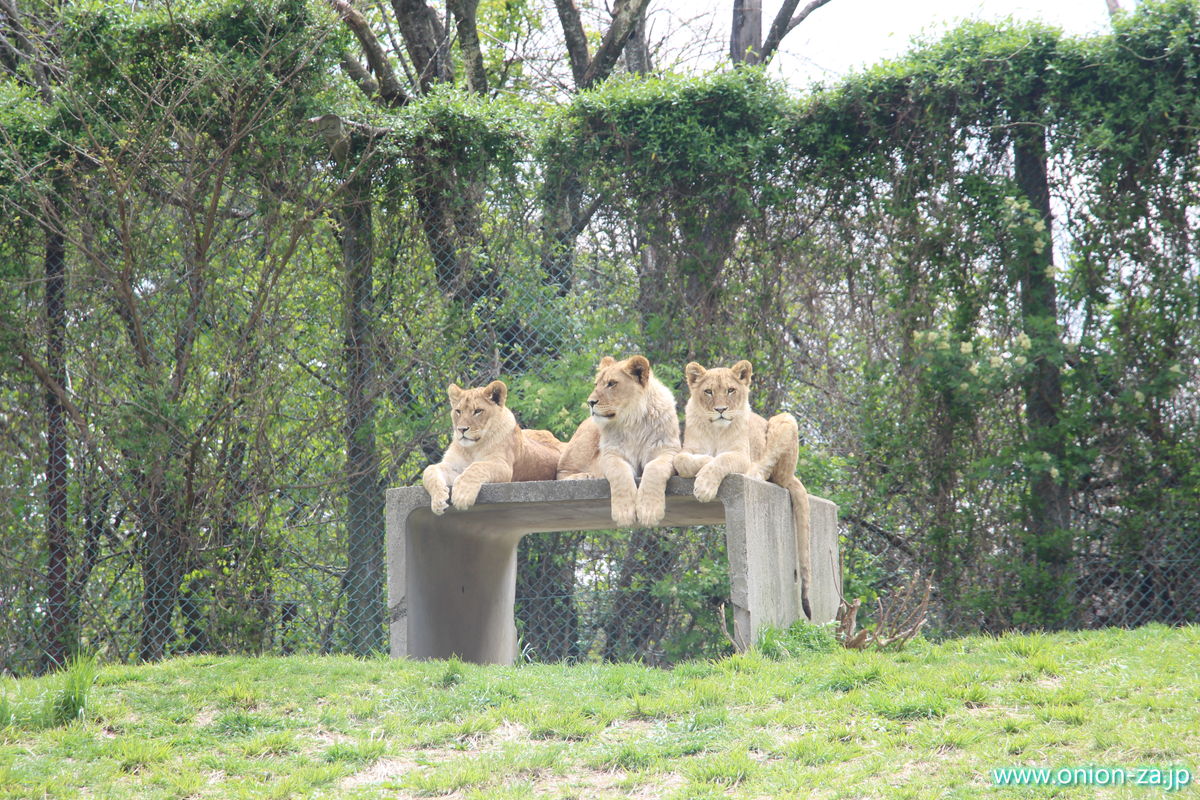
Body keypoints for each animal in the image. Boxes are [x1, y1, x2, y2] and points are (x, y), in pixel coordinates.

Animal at [422, 381, 566, 515]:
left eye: (478, 411)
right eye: (458, 411)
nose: (461, 429)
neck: (471, 449)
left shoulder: (504, 466)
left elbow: (476, 467)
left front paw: (462, 495)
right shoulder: (453, 466)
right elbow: (429, 470)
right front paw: (438, 501)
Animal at [554, 355, 681, 527]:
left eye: (611, 383)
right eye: (596, 384)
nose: (590, 402)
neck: (633, 422)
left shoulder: (668, 450)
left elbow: (654, 469)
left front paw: (649, 511)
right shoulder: (611, 454)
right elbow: (619, 473)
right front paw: (624, 513)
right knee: (560, 473)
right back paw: (584, 476)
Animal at [676, 362, 816, 618]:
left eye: (731, 390)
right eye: (708, 392)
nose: (721, 409)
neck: (716, 431)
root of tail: (791, 474)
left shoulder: (741, 455)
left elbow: (721, 460)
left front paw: (704, 486)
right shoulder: (686, 450)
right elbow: (684, 461)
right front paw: (703, 463)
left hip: (784, 419)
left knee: (770, 471)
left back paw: (754, 474)